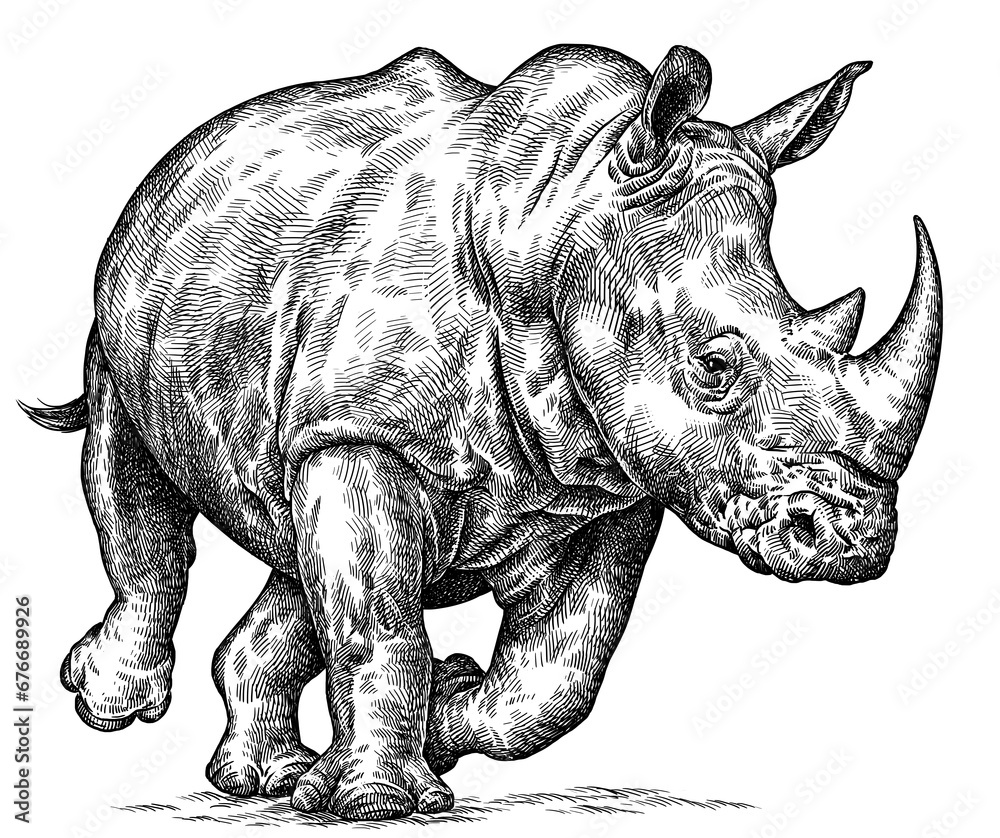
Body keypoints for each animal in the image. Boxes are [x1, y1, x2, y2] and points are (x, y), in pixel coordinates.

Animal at [22, 44, 941, 820]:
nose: (857, 543)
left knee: (296, 544)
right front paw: (378, 805)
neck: (559, 220)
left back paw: (269, 780)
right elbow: (377, 621)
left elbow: (559, 673)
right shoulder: (367, 431)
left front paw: (445, 711)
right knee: (135, 485)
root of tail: (175, 164)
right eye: (715, 366)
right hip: (124, 330)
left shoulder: (614, 482)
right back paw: (112, 705)